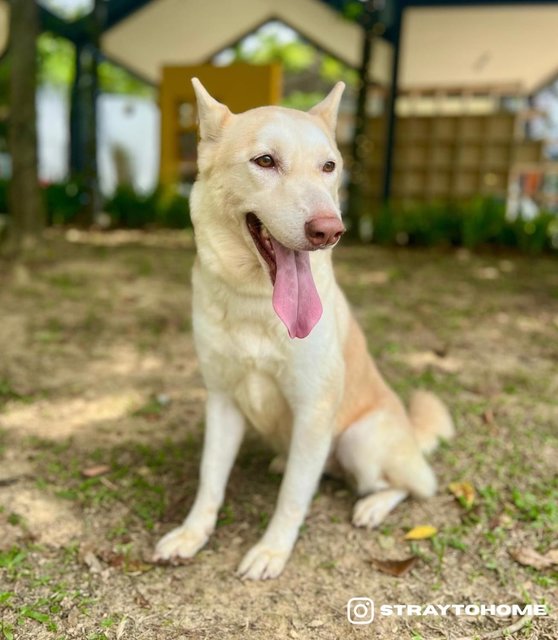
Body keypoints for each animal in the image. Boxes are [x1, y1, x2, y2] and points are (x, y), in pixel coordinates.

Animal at [154, 79, 456, 580]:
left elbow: (293, 496)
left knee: (413, 485)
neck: (256, 303)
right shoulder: (222, 400)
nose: (329, 230)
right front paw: (192, 534)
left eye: (328, 166)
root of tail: (413, 436)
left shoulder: (314, 411)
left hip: (358, 440)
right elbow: (210, 479)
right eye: (265, 161)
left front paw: (272, 550)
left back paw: (373, 505)